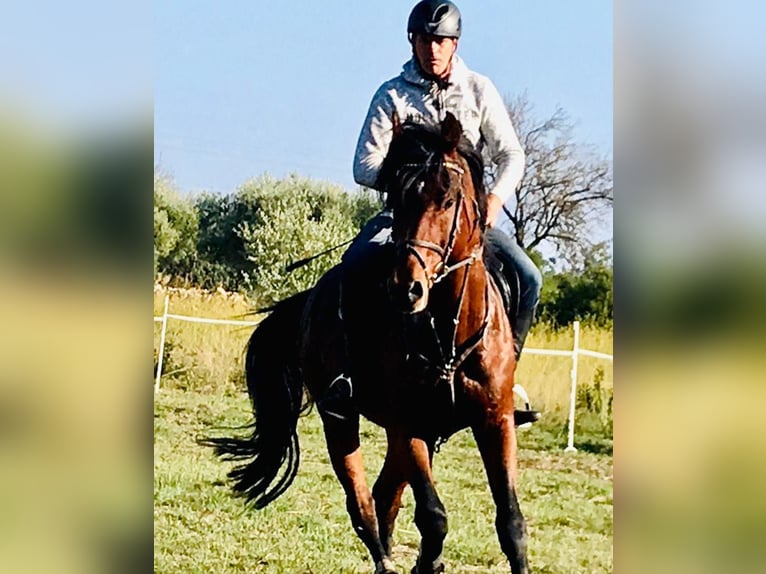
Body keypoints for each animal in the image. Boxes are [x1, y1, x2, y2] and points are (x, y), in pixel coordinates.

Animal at [201, 112, 531, 574]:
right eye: (399, 198)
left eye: (448, 199)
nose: (407, 288)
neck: (447, 335)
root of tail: (311, 297)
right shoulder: (408, 424)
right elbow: (433, 518)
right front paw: (427, 562)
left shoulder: (494, 421)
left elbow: (510, 523)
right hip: (341, 421)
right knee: (363, 505)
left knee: (383, 497)